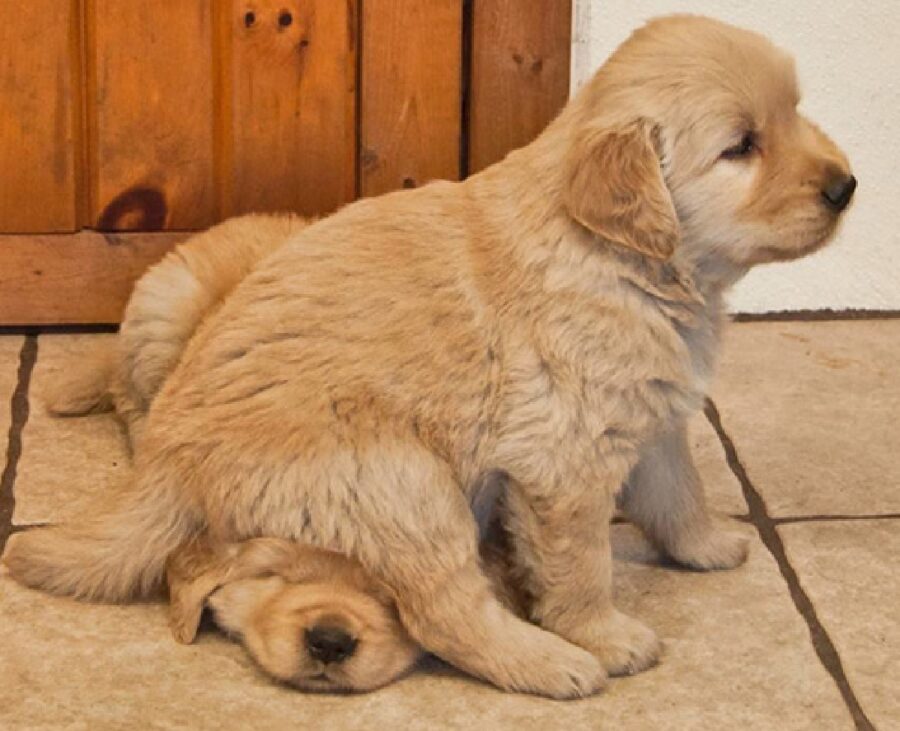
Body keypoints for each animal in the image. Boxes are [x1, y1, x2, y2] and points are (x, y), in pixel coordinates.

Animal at [1, 14, 856, 700]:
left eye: (795, 112)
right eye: (740, 146)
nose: (846, 186)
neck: (620, 259)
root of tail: (168, 459)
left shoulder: (651, 413)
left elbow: (678, 489)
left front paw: (709, 545)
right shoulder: (564, 457)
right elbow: (581, 563)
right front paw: (604, 634)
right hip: (402, 478)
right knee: (445, 609)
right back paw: (554, 664)